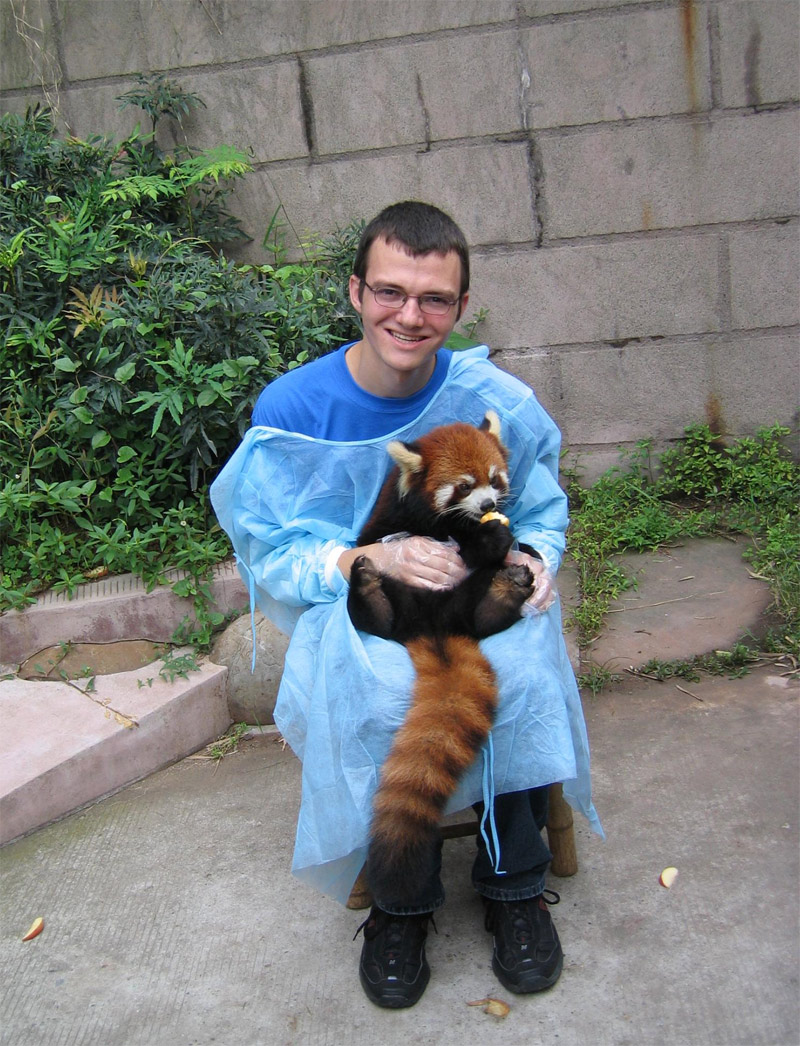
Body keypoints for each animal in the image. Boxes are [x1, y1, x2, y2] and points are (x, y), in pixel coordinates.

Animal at [345, 412, 535, 903]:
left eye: (494, 479)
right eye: (464, 486)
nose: (489, 503)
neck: (454, 522)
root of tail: (434, 625)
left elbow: (485, 550)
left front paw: (502, 535)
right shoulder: (392, 518)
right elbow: (384, 538)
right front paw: (489, 533)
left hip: (470, 598)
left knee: (484, 603)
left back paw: (504, 593)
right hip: (398, 597)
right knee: (377, 611)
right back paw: (369, 595)